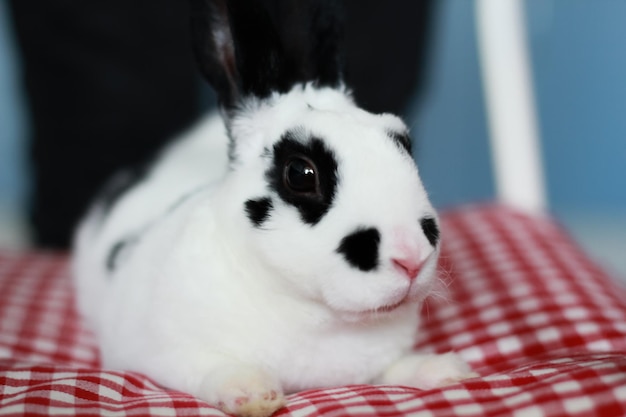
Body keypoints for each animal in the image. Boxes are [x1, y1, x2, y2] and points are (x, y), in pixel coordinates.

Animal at [72, 0, 472, 416]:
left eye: (404, 143)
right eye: (300, 173)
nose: (411, 257)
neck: (317, 316)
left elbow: (392, 370)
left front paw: (444, 370)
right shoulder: (162, 353)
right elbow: (206, 366)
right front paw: (252, 393)